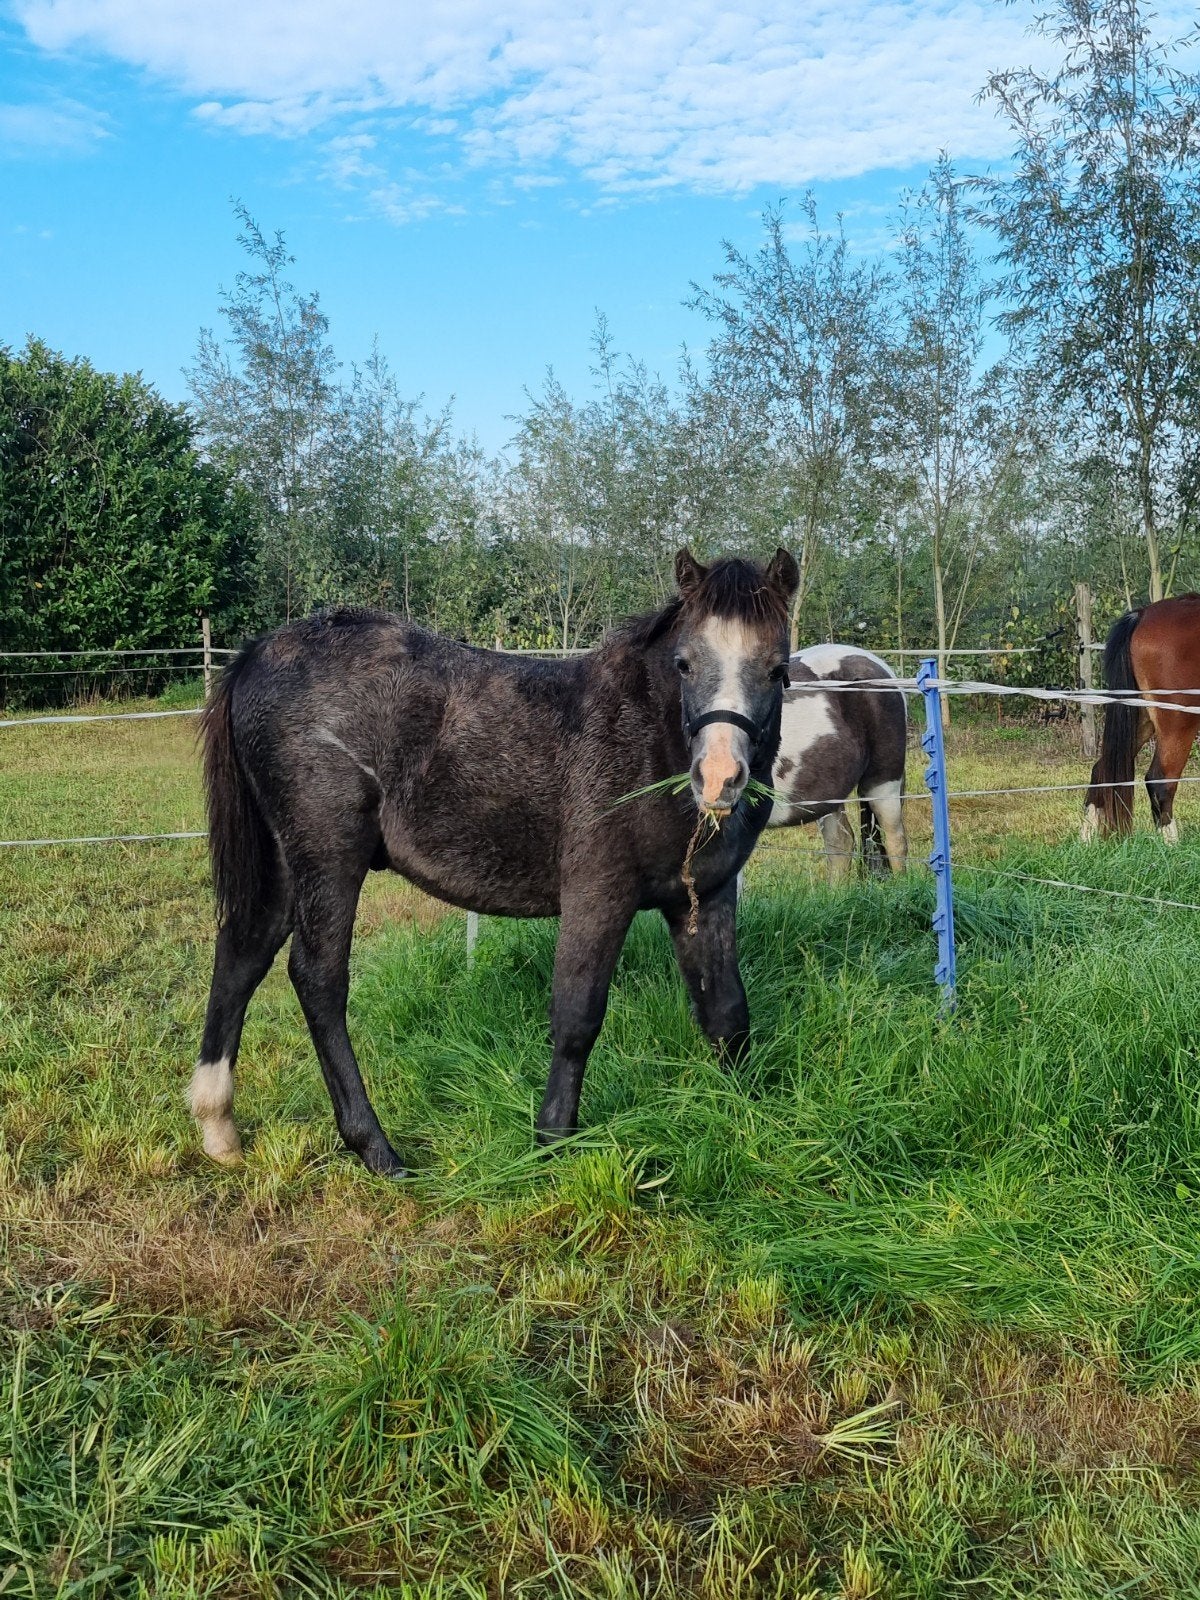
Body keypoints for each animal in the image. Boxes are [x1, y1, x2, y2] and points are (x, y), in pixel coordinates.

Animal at [191, 547, 800, 1176]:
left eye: (778, 670)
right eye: (683, 663)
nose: (719, 778)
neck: (647, 738)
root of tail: (259, 652)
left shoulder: (704, 897)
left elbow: (726, 1011)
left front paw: (746, 1117)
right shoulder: (599, 893)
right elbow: (577, 1015)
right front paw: (552, 1140)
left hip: (287, 864)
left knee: (242, 954)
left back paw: (218, 1125)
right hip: (329, 857)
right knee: (318, 980)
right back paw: (375, 1147)